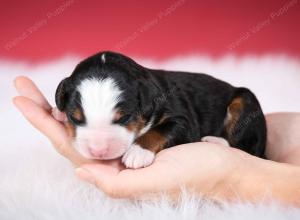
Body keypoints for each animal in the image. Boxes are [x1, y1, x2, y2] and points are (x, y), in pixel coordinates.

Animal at [52, 51, 266, 168]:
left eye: (124, 118)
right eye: (75, 118)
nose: (98, 151)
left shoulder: (183, 120)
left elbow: (161, 130)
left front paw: (138, 152)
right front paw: (57, 112)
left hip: (244, 102)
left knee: (247, 148)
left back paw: (214, 141)